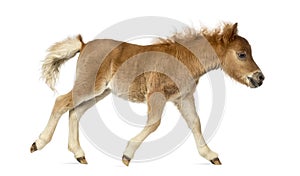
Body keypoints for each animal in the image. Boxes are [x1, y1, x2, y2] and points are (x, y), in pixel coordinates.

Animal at [30, 22, 264, 165]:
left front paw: (210, 155)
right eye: (242, 54)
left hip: (99, 93)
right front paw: (127, 155)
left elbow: (195, 123)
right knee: (61, 103)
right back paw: (38, 143)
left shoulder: (183, 98)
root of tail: (84, 44)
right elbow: (154, 123)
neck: (184, 60)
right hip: (88, 86)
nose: (260, 78)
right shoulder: (156, 95)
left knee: (75, 112)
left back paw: (79, 154)